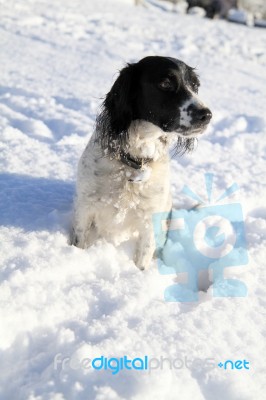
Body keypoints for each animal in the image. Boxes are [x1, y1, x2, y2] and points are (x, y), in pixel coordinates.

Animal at [70, 55, 212, 268]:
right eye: (165, 83)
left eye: (195, 86)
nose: (207, 115)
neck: (135, 160)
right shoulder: (85, 207)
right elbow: (79, 242)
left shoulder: (150, 220)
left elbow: (143, 259)